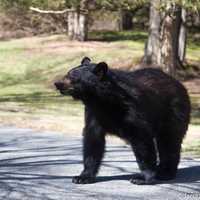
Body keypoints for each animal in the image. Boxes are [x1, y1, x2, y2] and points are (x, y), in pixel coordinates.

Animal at [54, 57, 191, 185]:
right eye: (68, 73)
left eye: (72, 76)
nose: (57, 83)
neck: (105, 101)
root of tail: (179, 84)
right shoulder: (93, 113)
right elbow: (93, 141)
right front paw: (82, 177)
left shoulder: (133, 110)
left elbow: (142, 140)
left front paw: (143, 178)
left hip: (173, 113)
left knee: (169, 142)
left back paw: (165, 173)